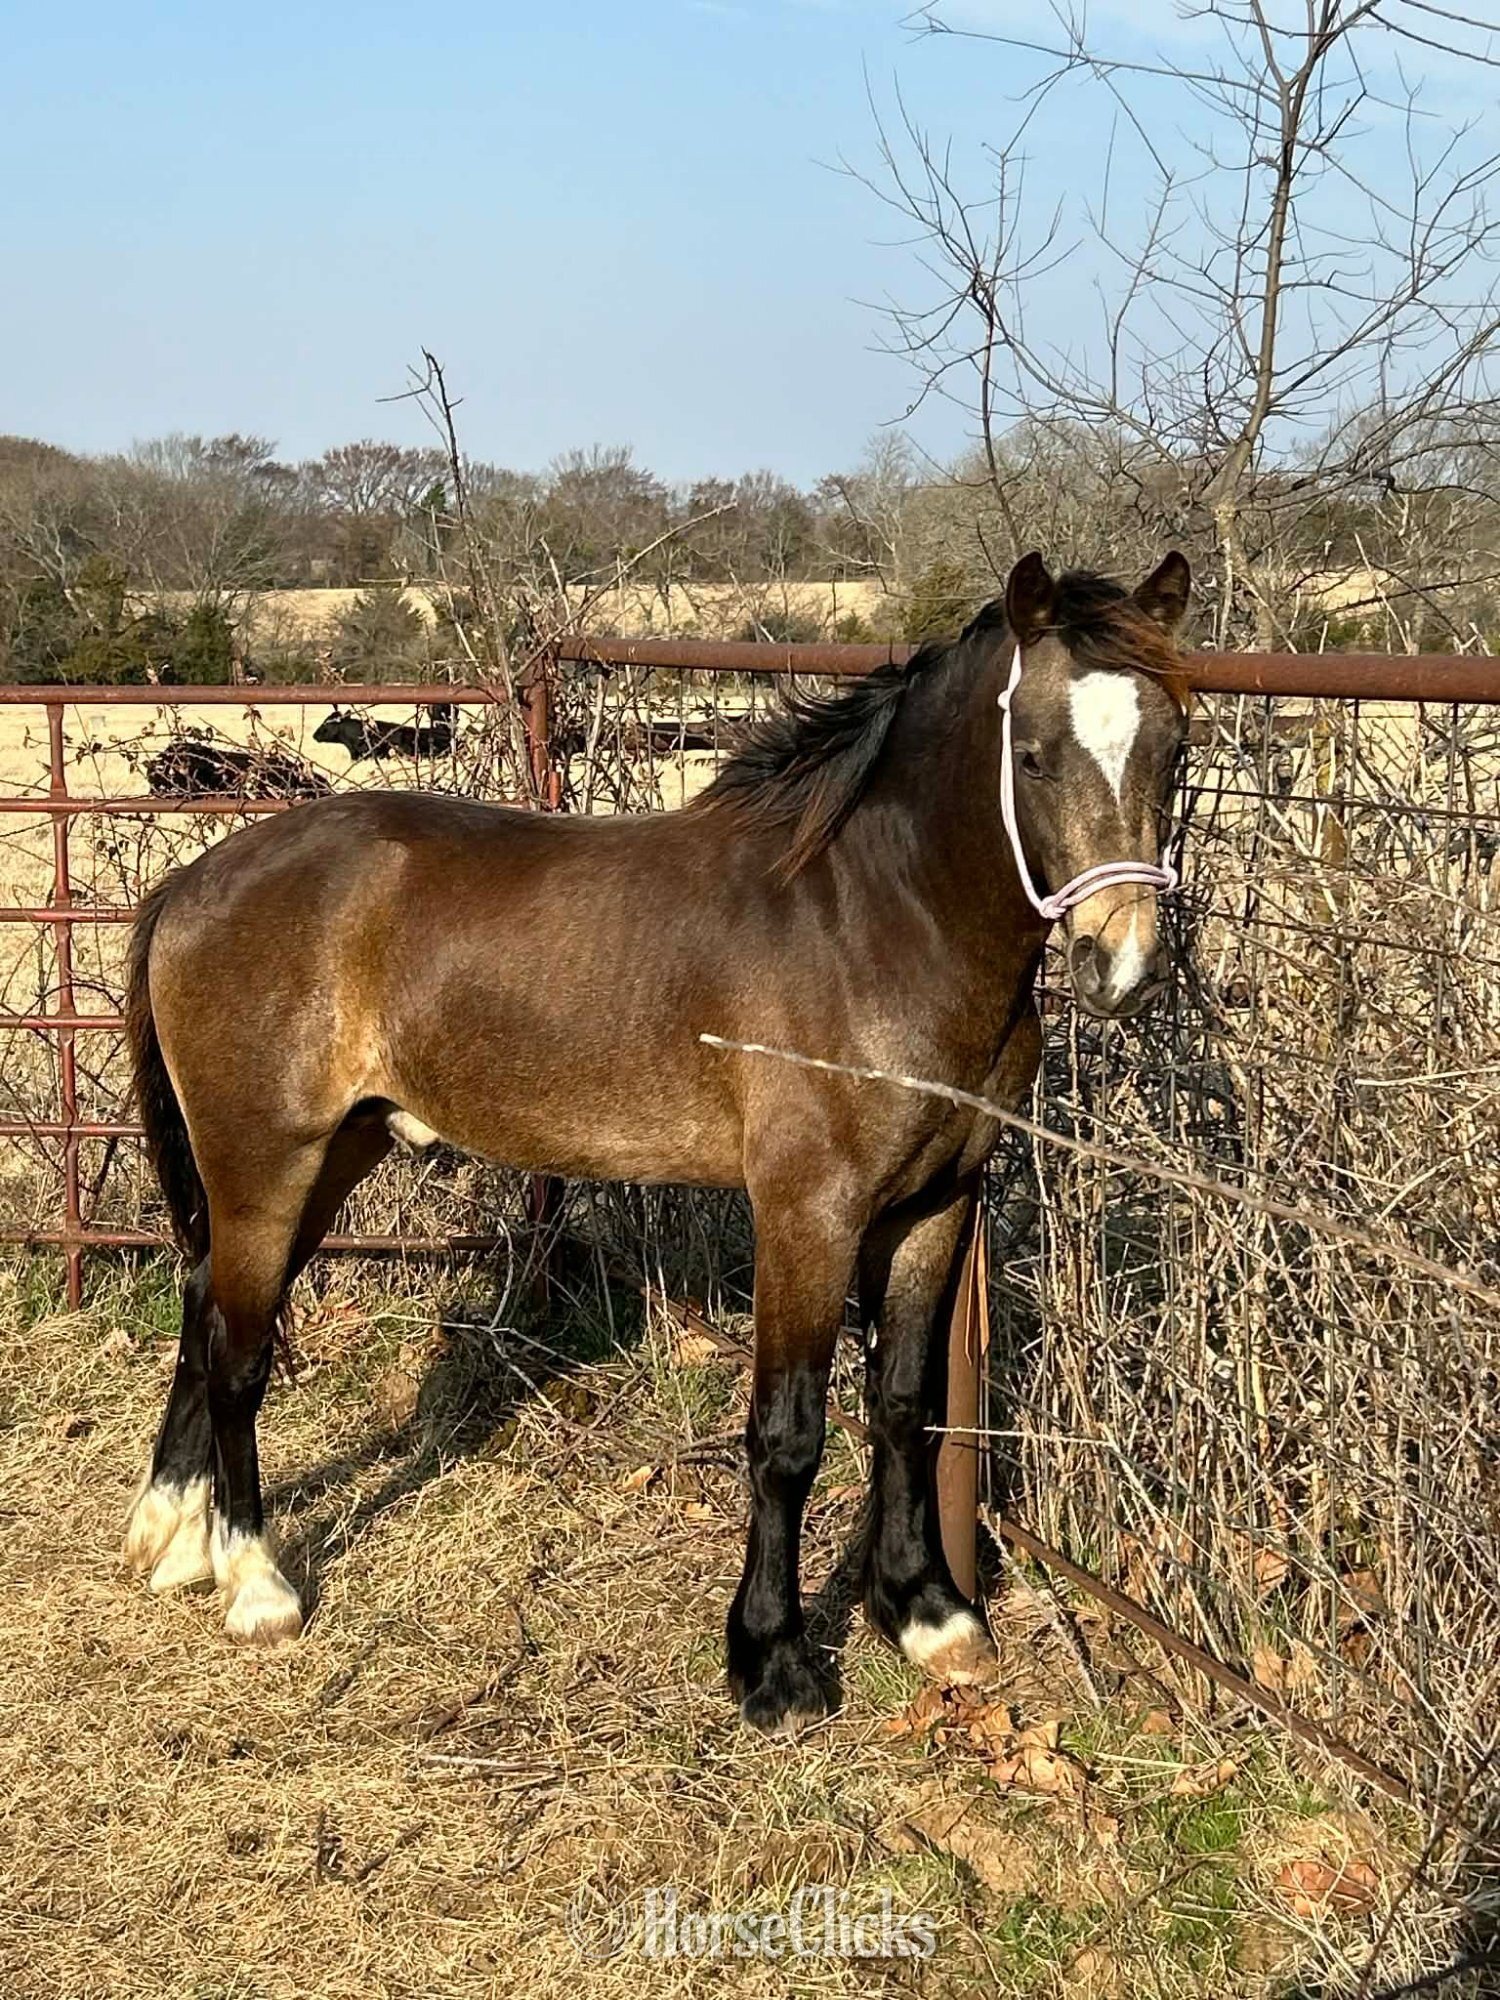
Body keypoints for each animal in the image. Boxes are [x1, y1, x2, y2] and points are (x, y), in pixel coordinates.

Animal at [122, 551, 1190, 1735]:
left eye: (1176, 747)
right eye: (1034, 754)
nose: (1125, 965)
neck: (873, 921)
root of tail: (194, 883)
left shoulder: (934, 1206)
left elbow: (907, 1406)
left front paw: (926, 1613)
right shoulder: (808, 1216)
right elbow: (787, 1434)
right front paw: (771, 1663)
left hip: (328, 1157)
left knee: (204, 1304)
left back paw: (173, 1538)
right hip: (267, 1161)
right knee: (238, 1348)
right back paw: (256, 1582)